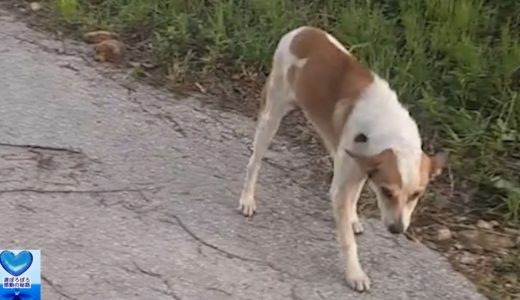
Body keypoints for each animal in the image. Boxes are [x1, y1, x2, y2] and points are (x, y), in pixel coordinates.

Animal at [239, 26, 446, 292]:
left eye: (416, 195)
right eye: (387, 192)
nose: (397, 230)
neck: (389, 132)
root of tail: (301, 31)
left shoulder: (358, 168)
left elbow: (352, 199)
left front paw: (352, 218)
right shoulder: (347, 180)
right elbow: (348, 241)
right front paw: (354, 273)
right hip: (272, 115)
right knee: (254, 162)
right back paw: (247, 198)